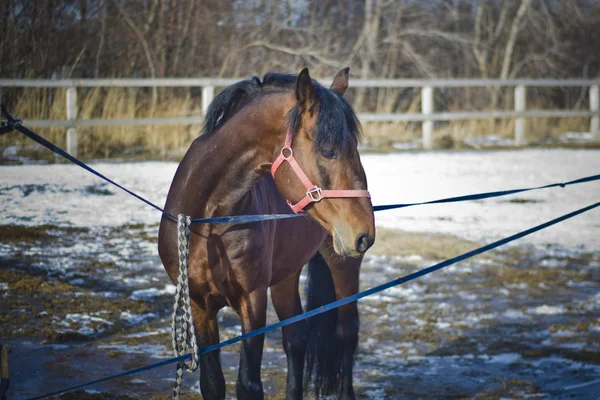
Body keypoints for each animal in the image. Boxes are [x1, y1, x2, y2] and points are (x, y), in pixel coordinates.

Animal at [159, 67, 376, 398]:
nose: (365, 233)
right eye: (329, 151)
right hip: (287, 275)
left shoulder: (253, 299)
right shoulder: (199, 304)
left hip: (342, 265)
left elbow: (249, 384)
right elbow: (212, 382)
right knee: (296, 338)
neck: (207, 226)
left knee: (346, 334)